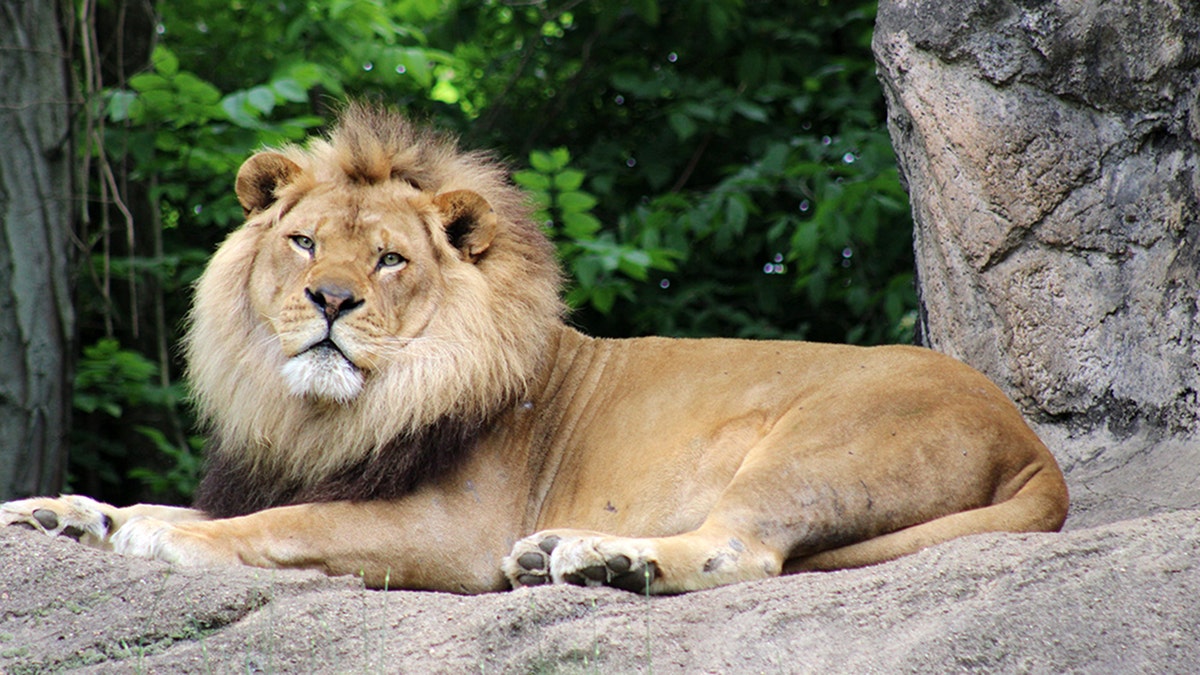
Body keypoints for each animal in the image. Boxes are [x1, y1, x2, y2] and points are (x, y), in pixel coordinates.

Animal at [2, 102, 1070, 590]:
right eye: (303, 241)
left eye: (388, 259)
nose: (330, 299)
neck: (318, 411)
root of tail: (1033, 443)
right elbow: (176, 498)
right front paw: (64, 511)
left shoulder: (450, 533)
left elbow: (278, 525)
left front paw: (163, 537)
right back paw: (563, 550)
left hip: (811, 444)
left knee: (742, 550)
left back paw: (606, 561)